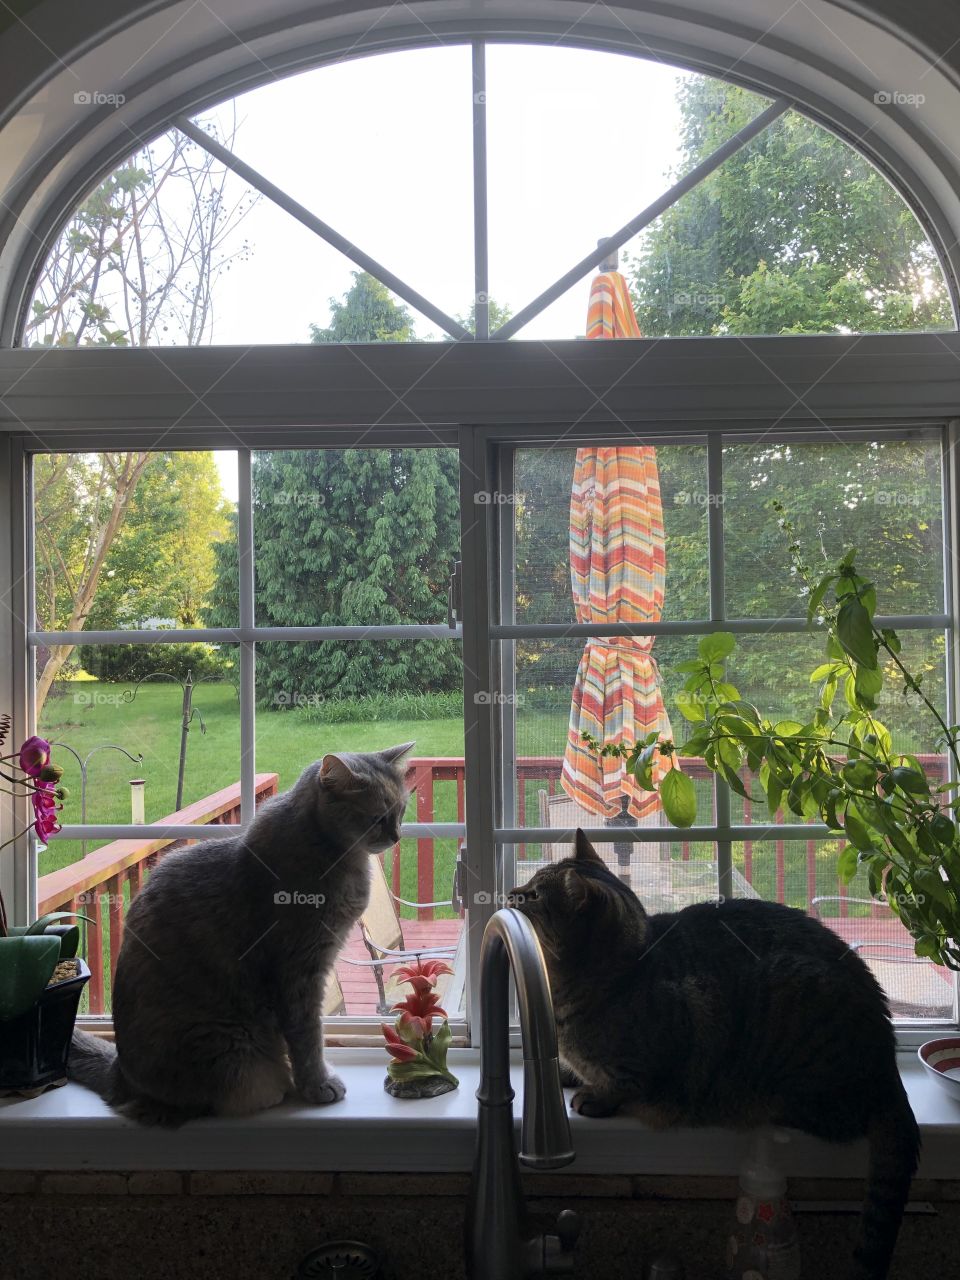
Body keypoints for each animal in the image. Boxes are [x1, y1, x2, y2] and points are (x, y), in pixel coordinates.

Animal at [66, 747, 414, 1126]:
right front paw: (317, 1085)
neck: (328, 849)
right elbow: (307, 1034)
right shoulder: (298, 970)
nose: (397, 836)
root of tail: (119, 1073)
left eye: (401, 812)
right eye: (377, 817)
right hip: (232, 1047)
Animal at [514, 829, 921, 1280]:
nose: (510, 893)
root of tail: (888, 1065)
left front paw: (594, 1095)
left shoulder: (668, 1042)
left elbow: (622, 1083)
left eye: (534, 894)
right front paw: (568, 1074)